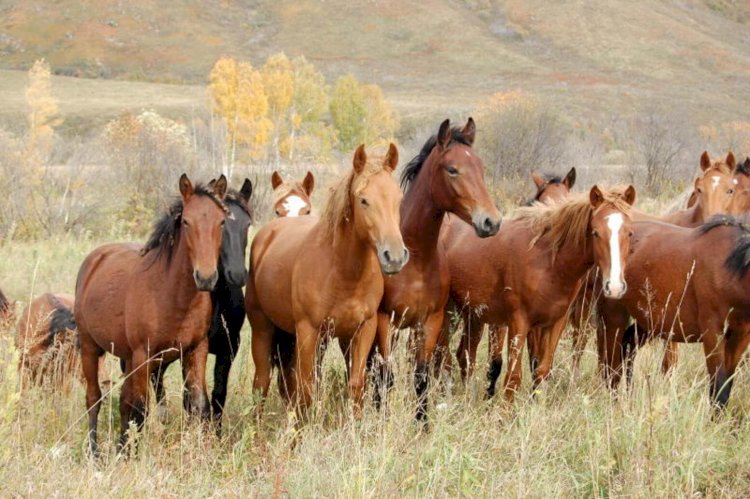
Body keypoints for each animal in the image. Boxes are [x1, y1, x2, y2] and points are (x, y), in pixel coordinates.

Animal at [76, 174, 231, 456]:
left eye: (221, 221)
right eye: (187, 221)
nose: (206, 277)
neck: (173, 296)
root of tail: (95, 259)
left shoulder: (196, 350)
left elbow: (198, 404)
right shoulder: (143, 356)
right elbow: (140, 410)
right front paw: (130, 455)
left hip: (127, 358)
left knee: (123, 401)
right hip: (90, 347)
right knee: (94, 398)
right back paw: (95, 452)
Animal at [247, 146, 408, 422]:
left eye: (398, 199)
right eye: (363, 200)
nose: (394, 256)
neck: (342, 272)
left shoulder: (363, 330)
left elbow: (355, 384)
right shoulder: (308, 331)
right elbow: (306, 388)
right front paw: (300, 430)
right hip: (262, 328)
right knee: (262, 382)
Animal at [374, 118, 502, 422]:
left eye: (481, 168)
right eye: (452, 169)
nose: (491, 221)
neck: (416, 258)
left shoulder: (429, 322)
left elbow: (421, 377)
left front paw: (423, 423)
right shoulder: (387, 321)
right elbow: (386, 375)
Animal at [444, 186, 636, 400]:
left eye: (629, 233)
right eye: (595, 232)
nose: (615, 287)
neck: (548, 262)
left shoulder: (555, 323)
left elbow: (541, 371)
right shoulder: (519, 322)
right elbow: (512, 378)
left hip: (473, 316)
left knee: (464, 355)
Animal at [600, 217, 750, 408]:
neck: (730, 271)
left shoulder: (740, 337)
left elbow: (726, 387)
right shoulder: (712, 334)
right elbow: (719, 389)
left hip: (649, 323)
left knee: (627, 346)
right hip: (615, 318)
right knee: (612, 368)